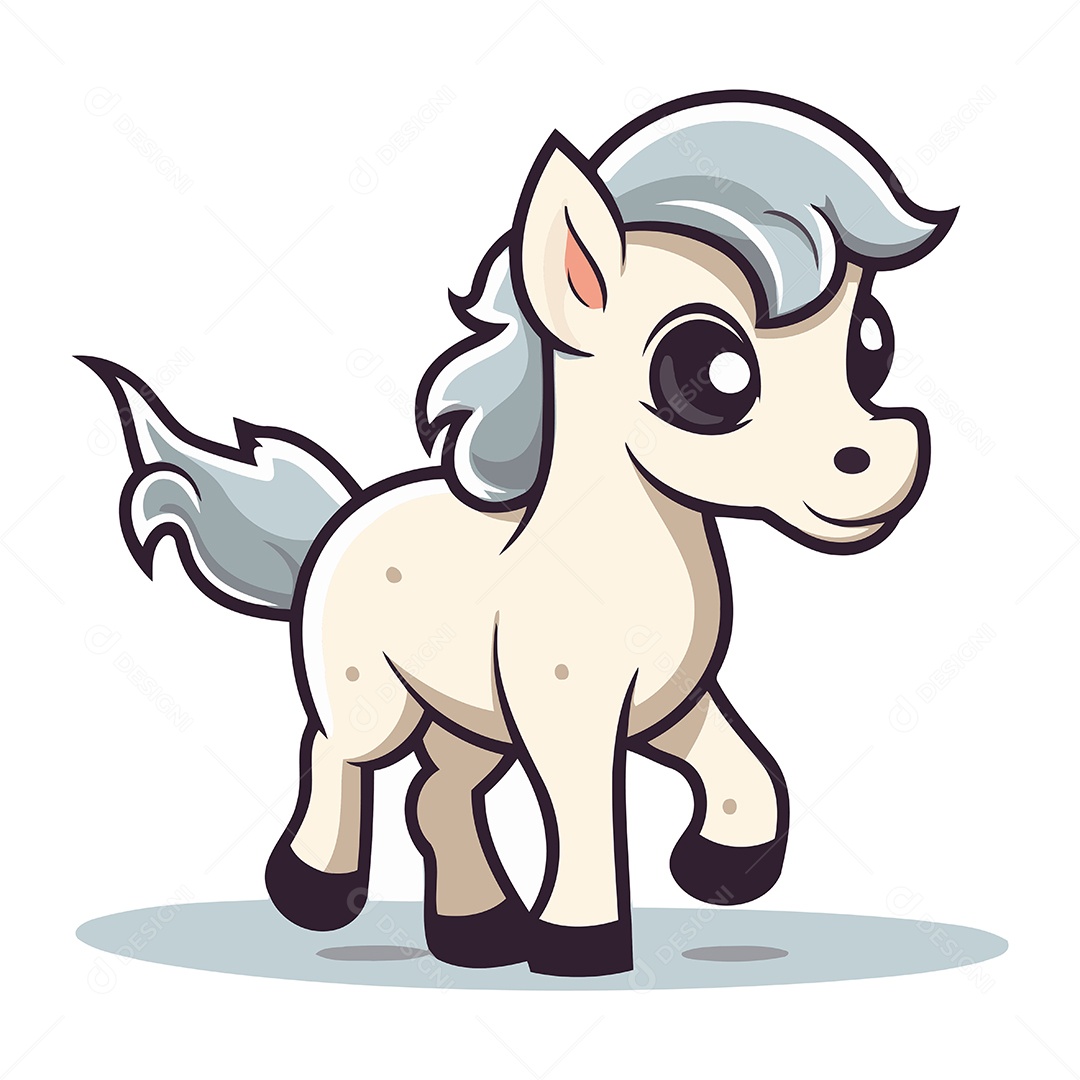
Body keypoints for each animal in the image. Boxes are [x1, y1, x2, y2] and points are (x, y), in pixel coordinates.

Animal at [82, 90, 955, 978]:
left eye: (871, 340)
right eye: (711, 370)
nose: (881, 460)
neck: (613, 564)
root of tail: (347, 517)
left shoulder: (672, 703)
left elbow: (745, 770)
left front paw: (722, 865)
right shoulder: (567, 714)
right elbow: (585, 817)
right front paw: (582, 943)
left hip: (467, 721)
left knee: (437, 795)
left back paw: (479, 929)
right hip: (371, 701)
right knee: (337, 755)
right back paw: (318, 891)